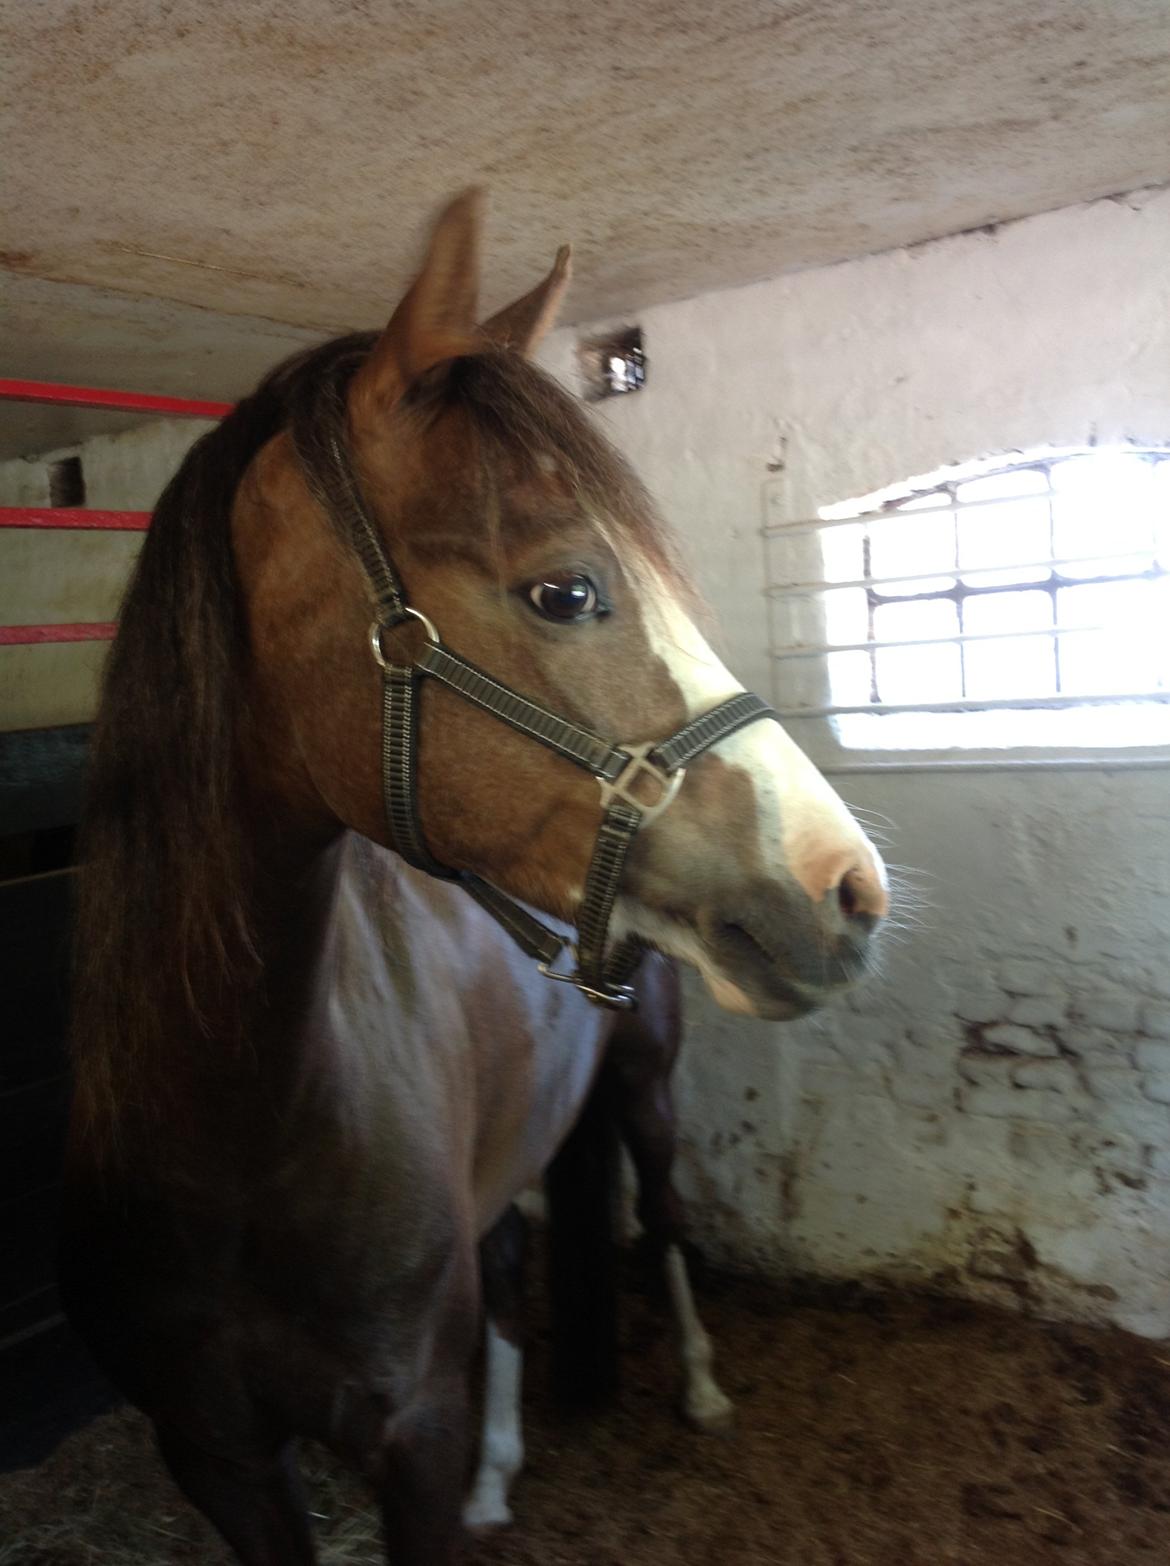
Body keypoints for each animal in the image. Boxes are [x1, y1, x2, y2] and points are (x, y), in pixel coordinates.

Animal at [61, 189, 888, 1566]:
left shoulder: (411, 1435)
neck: (237, 1122)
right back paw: (507, 1468)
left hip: (647, 1090)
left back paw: (699, 1388)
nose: (848, 890)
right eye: (566, 589)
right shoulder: (216, 1455)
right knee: (504, 1262)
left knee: (664, 1214)